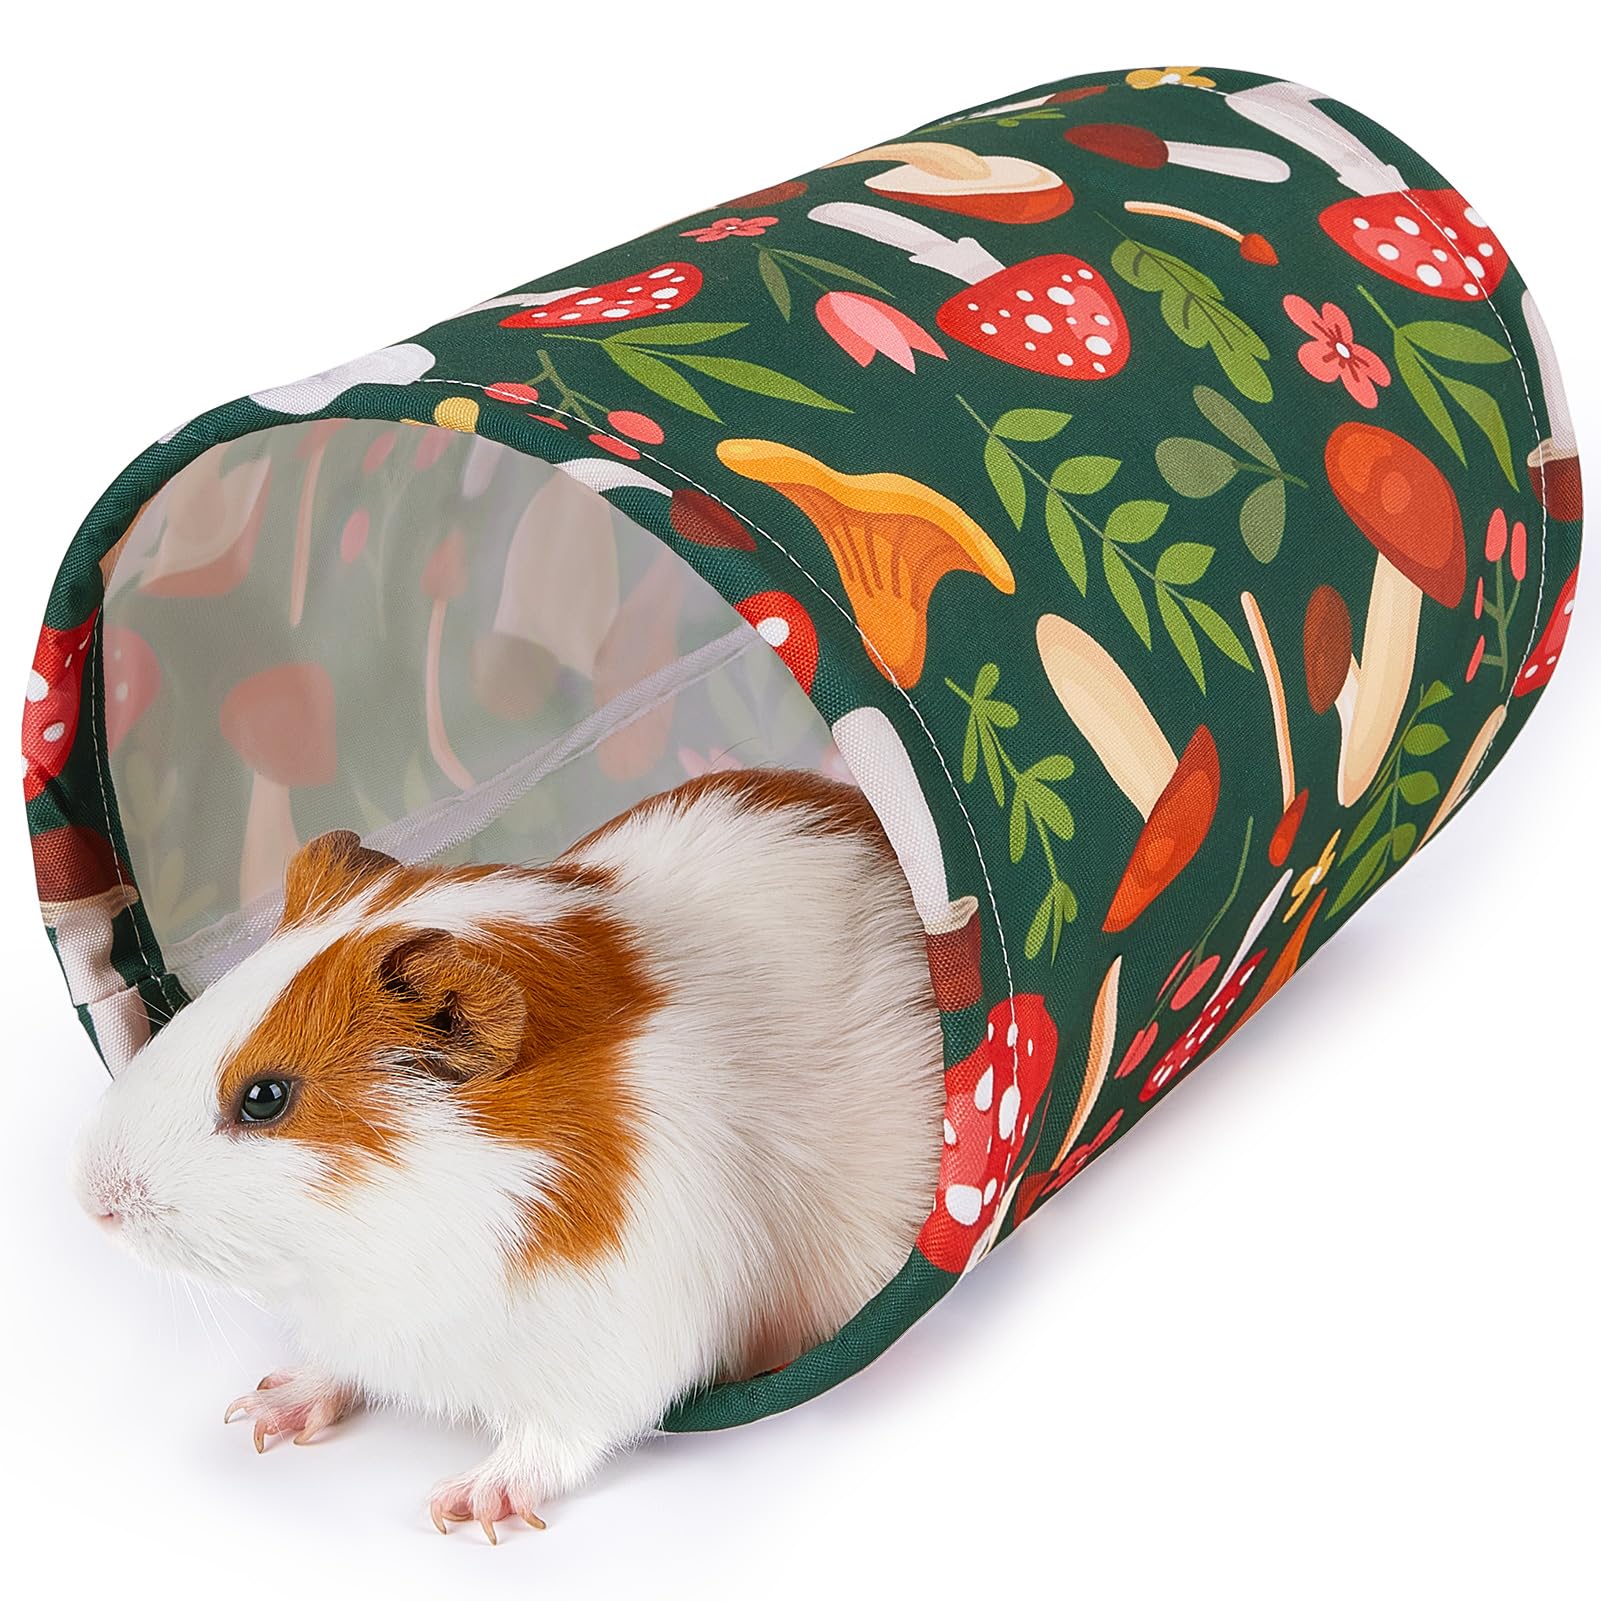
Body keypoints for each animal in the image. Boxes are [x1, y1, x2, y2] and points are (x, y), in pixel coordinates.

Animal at [71, 767, 944, 1540]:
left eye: (265, 1096)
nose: (93, 1199)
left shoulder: (621, 1340)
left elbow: (553, 1439)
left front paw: (462, 1507)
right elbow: (340, 1364)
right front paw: (259, 1411)